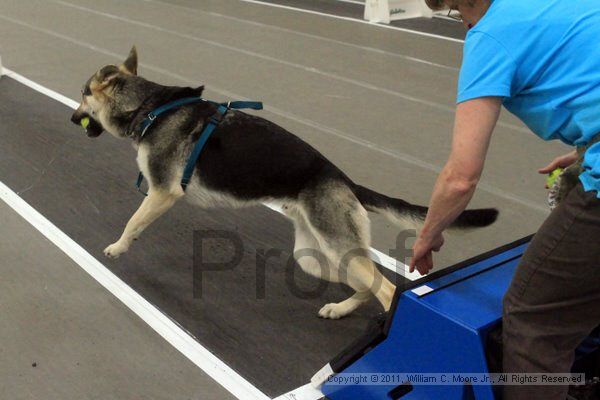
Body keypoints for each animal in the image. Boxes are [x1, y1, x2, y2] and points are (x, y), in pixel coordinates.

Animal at [70, 47, 500, 320]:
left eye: (83, 94)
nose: (73, 120)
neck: (150, 108)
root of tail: (343, 179)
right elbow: (137, 220)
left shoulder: (162, 192)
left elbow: (133, 221)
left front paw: (118, 247)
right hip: (317, 256)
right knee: (367, 285)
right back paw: (340, 309)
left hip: (335, 247)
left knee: (387, 290)